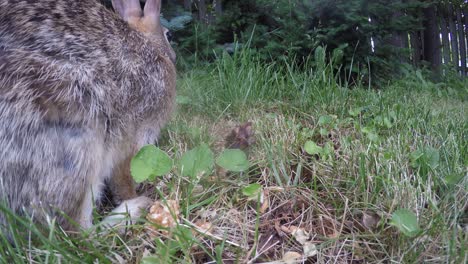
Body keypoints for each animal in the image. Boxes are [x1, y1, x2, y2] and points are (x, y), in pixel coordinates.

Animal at [0, 0, 176, 235]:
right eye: (168, 35)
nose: (174, 55)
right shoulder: (134, 138)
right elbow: (124, 177)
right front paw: (132, 196)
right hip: (78, 140)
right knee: (77, 232)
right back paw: (136, 207)